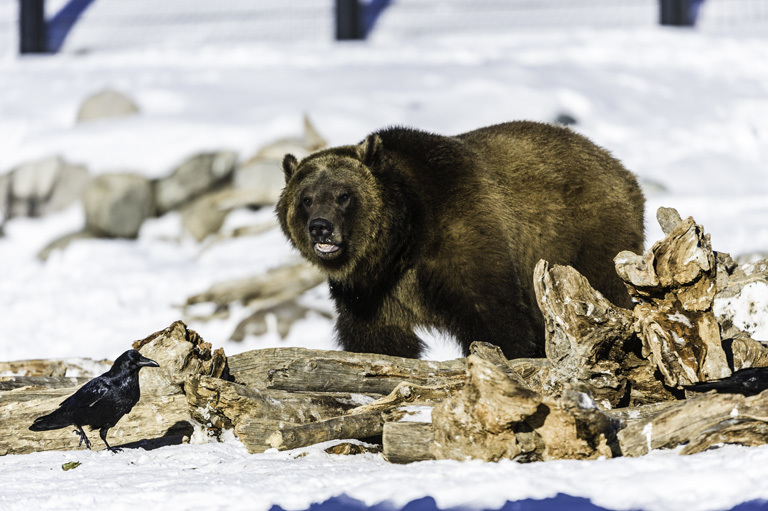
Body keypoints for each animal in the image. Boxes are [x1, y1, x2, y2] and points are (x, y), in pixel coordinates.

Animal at [276, 122, 640, 360]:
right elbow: (377, 340)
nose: (320, 228)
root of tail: (620, 168)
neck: (402, 240)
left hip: (587, 234)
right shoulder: (370, 292)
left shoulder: (463, 237)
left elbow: (495, 320)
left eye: (343, 195)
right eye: (307, 198)